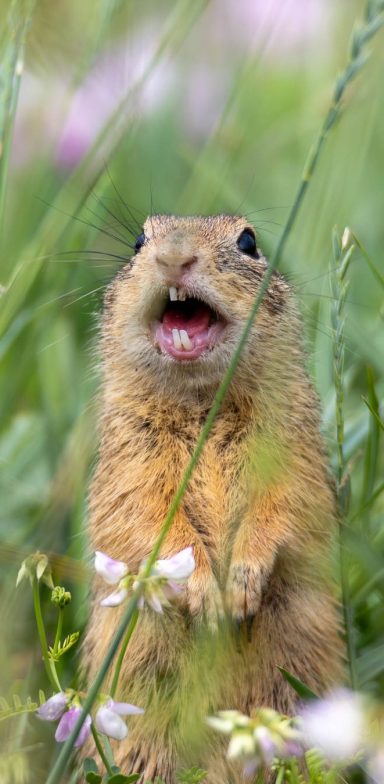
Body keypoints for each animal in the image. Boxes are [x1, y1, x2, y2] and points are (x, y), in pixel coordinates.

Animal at [85, 214, 344, 784]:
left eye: (248, 241)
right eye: (139, 241)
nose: (174, 257)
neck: (203, 401)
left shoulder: (293, 453)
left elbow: (285, 507)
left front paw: (242, 583)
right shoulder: (129, 461)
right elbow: (145, 517)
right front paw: (206, 593)